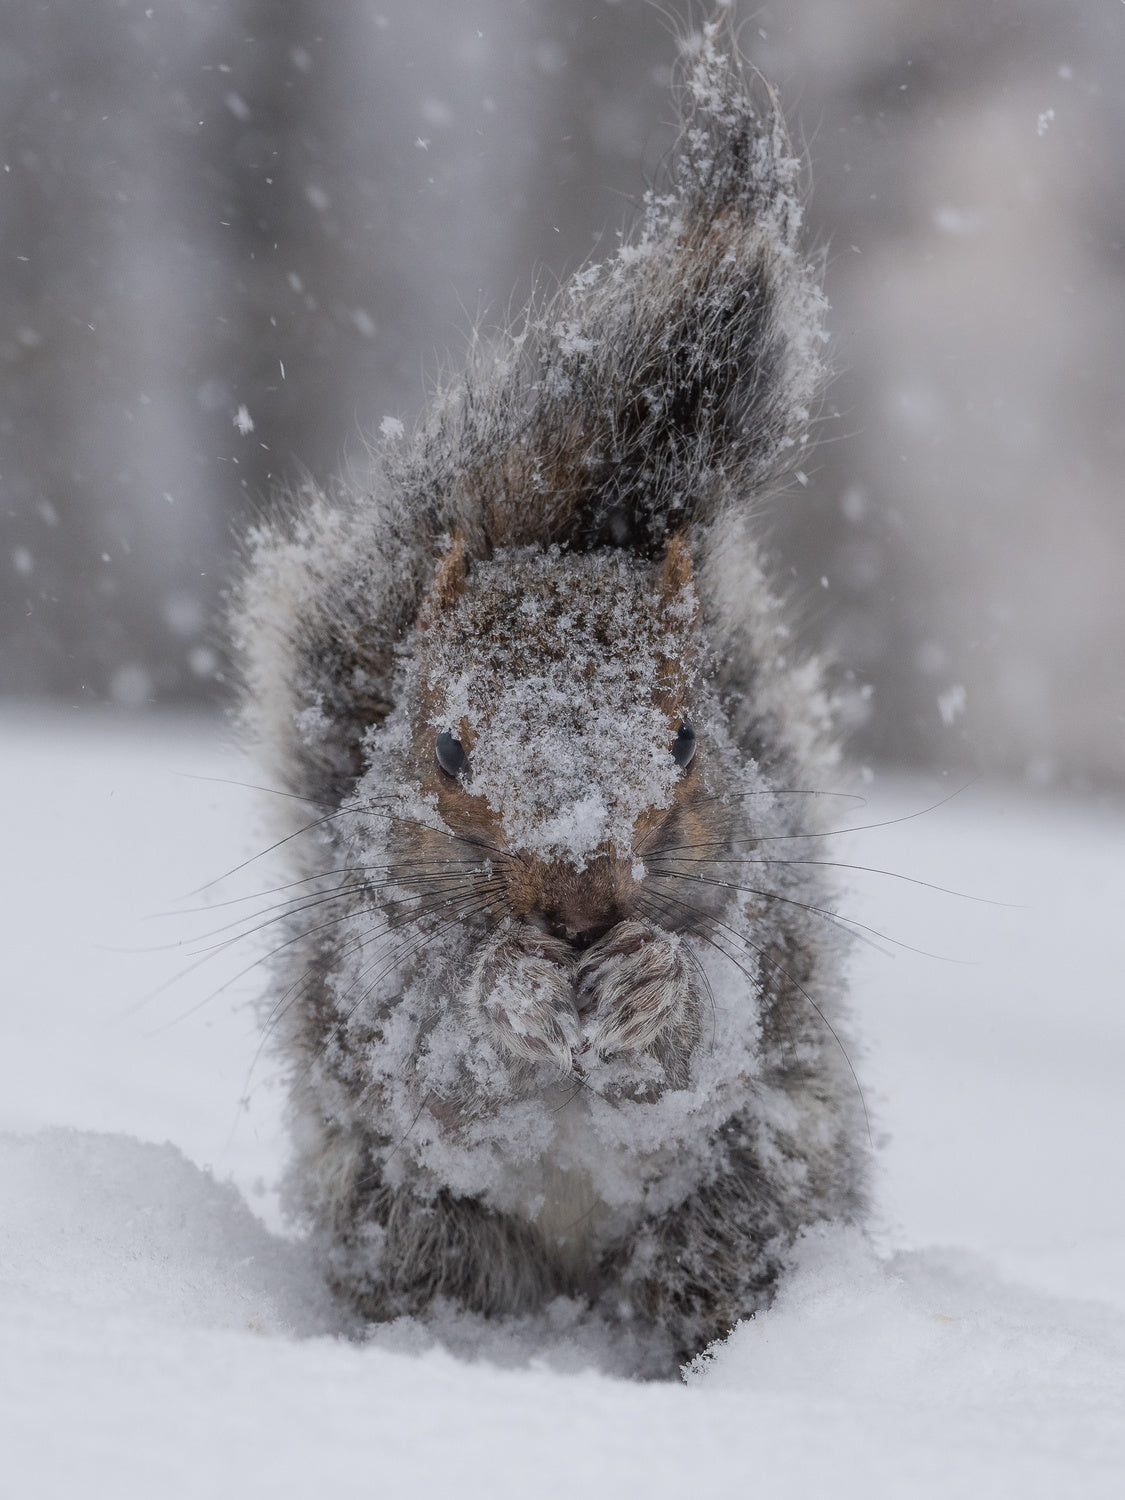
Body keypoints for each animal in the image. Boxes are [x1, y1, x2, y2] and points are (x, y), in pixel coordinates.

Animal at [231, 23, 869, 1374]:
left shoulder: (762, 941)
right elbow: (438, 1067)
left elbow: (710, 1043)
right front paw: (508, 993)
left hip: (755, 1191)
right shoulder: (367, 972)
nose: (577, 905)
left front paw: (651, 989)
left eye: (685, 741)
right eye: (446, 749)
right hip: (403, 1220)